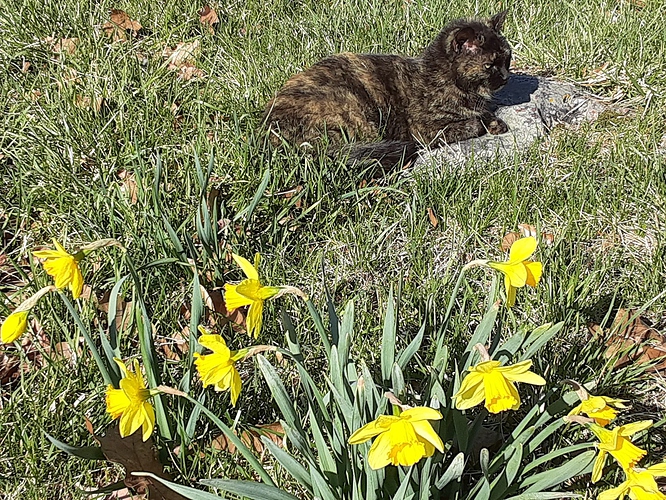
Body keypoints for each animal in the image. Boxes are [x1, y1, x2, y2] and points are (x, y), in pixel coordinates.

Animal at [262, 10, 510, 168]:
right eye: (490, 65)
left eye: (507, 58)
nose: (507, 77)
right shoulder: (425, 130)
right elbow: (472, 123)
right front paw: (484, 123)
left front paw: (495, 122)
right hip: (356, 113)